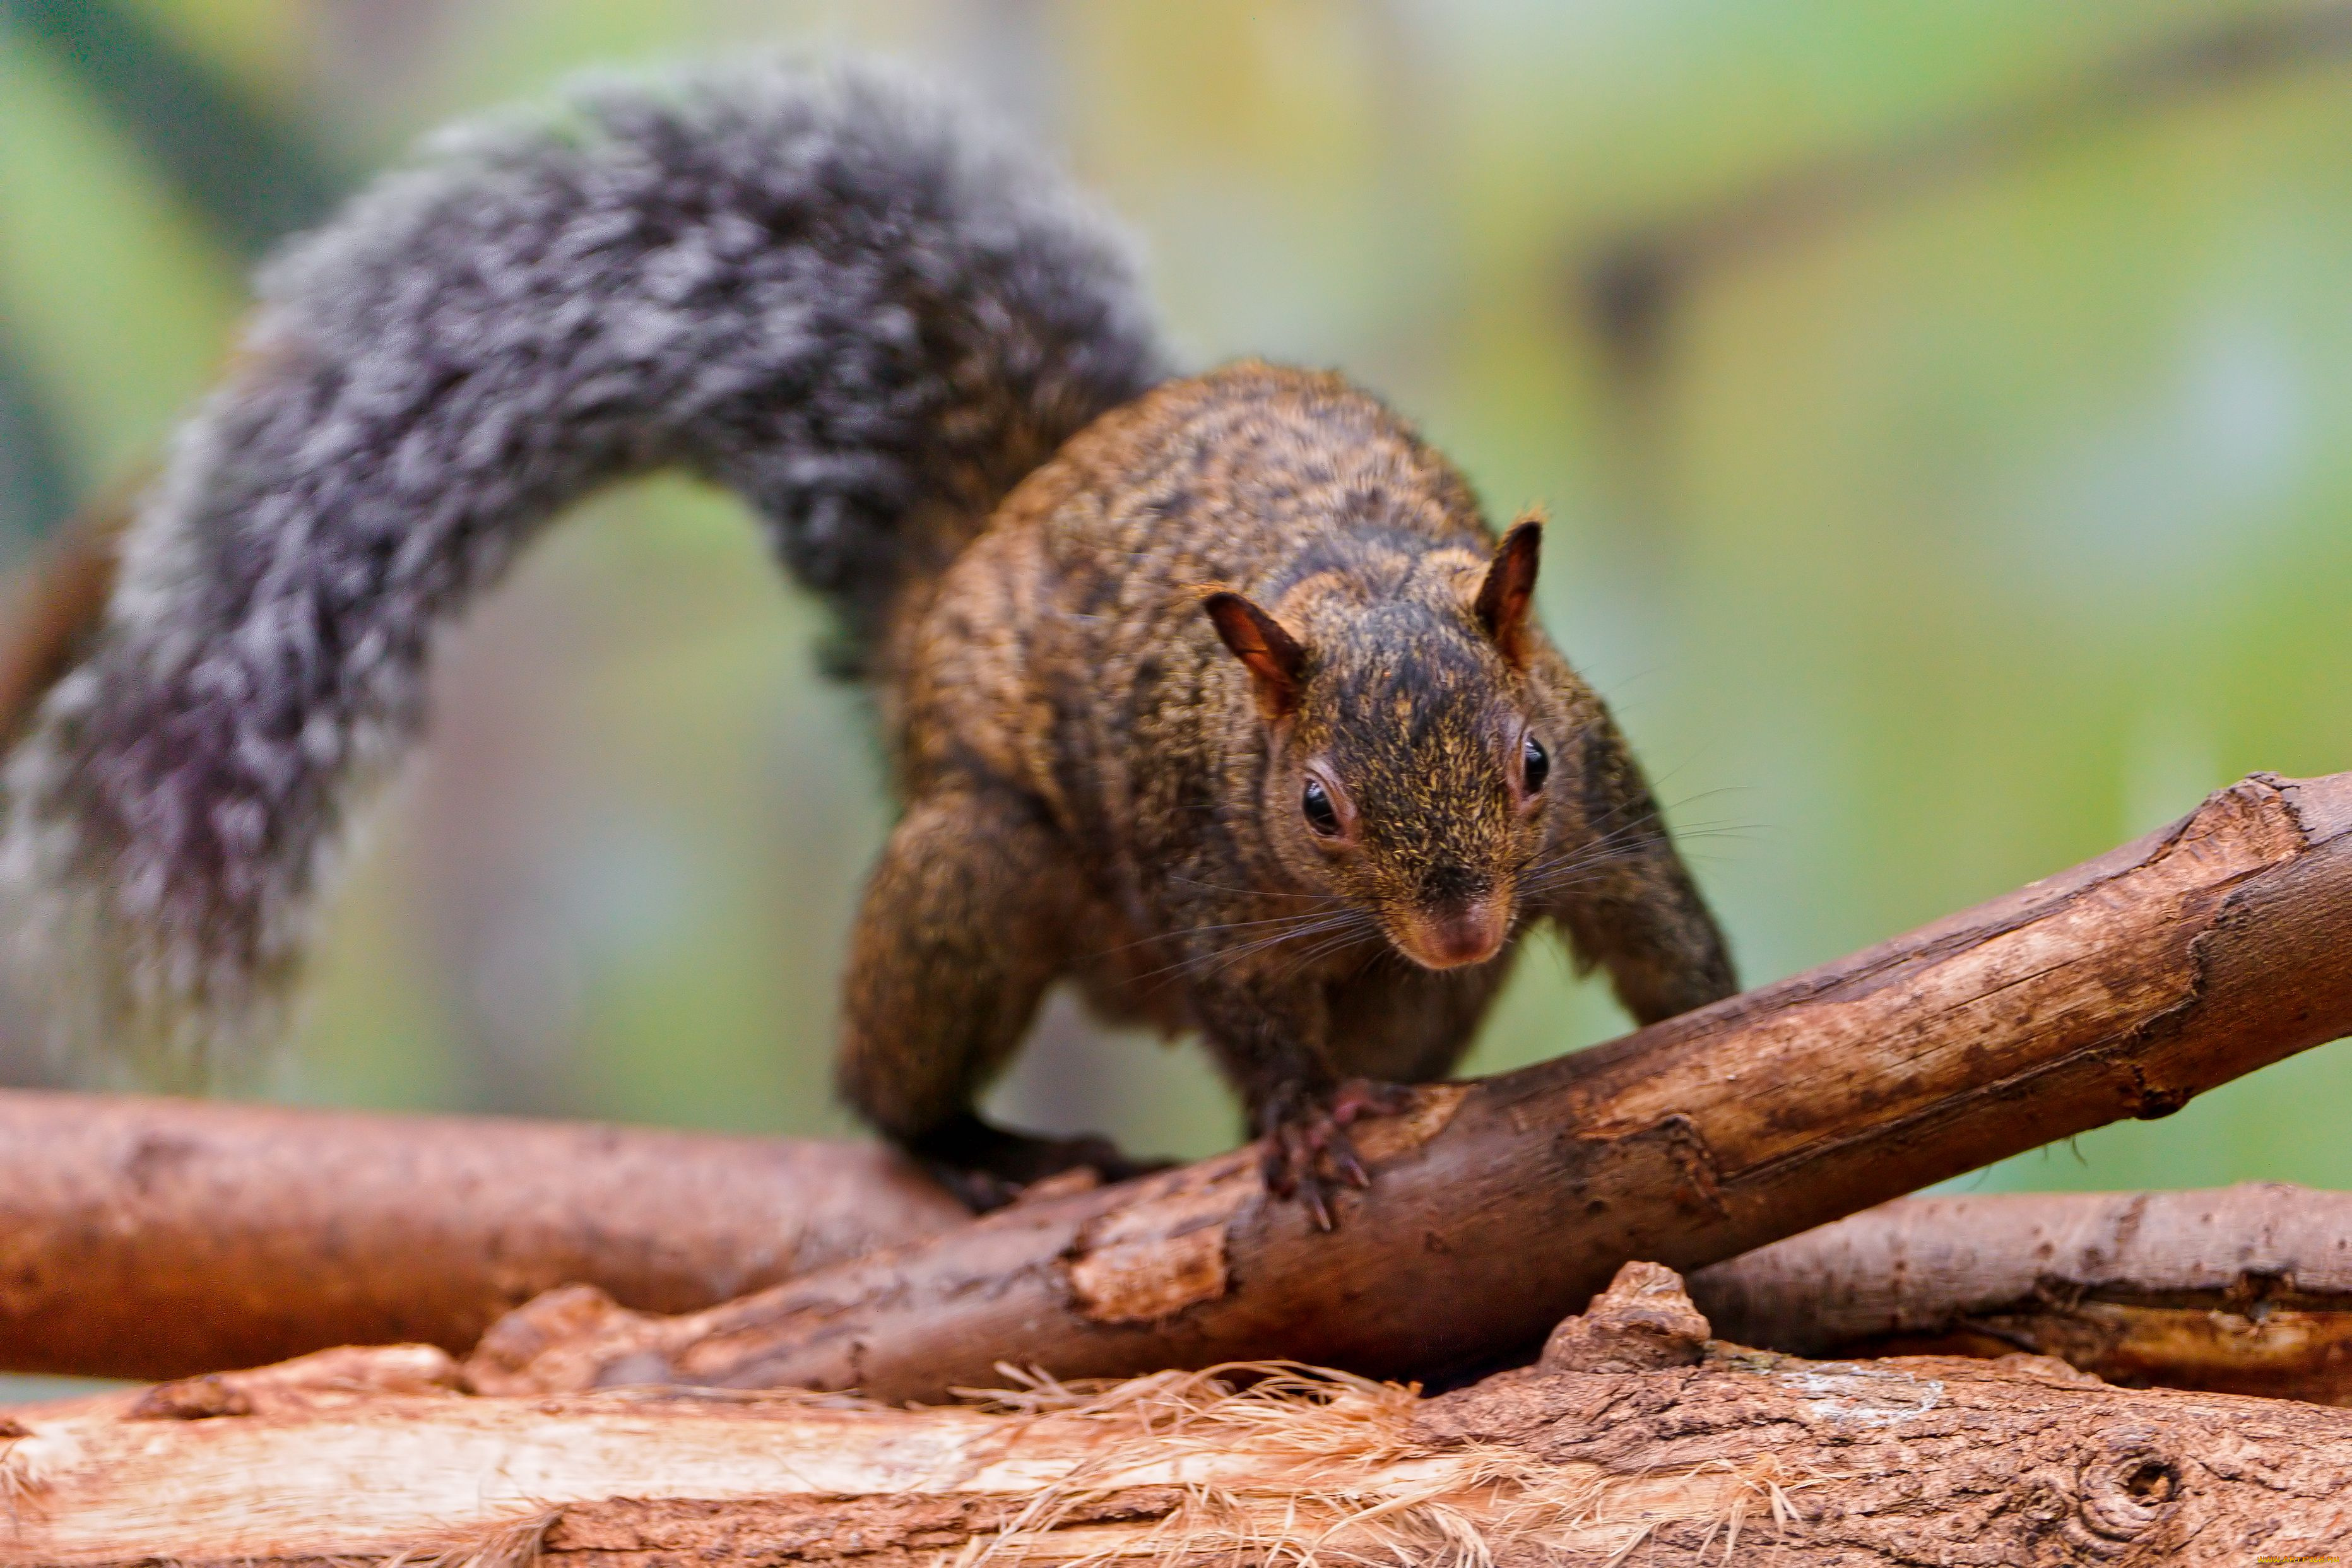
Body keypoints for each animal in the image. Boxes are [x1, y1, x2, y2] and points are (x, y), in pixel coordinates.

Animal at [0, 58, 1736, 1224]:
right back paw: (984, 1145)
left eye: (1526, 764)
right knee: (889, 1082)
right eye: (1315, 807)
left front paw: (1728, 1041)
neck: (1349, 573)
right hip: (977, 870)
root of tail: (965, 558)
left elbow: (1662, 932)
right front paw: (1299, 1121)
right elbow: (1248, 1015)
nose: (1458, 922)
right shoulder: (1198, 866)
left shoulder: (1603, 805)